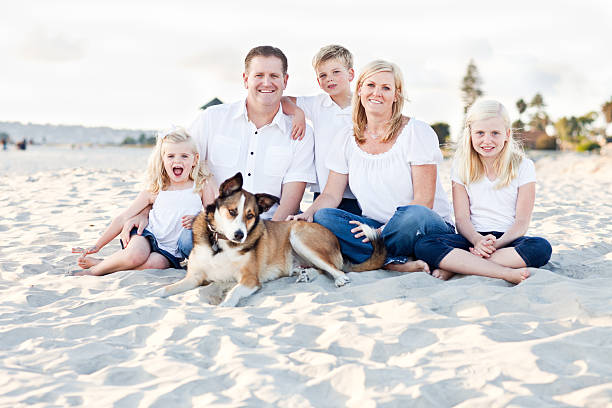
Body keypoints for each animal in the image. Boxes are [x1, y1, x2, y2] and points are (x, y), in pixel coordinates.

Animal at [158, 172, 388, 306]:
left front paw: (224, 306)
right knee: (320, 269)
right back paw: (303, 273)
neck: (221, 245)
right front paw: (155, 294)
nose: (240, 235)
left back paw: (338, 279)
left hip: (298, 234)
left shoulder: (250, 280)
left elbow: (233, 293)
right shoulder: (195, 277)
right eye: (232, 211)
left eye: (250, 215)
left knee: (336, 269)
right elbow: (169, 289)